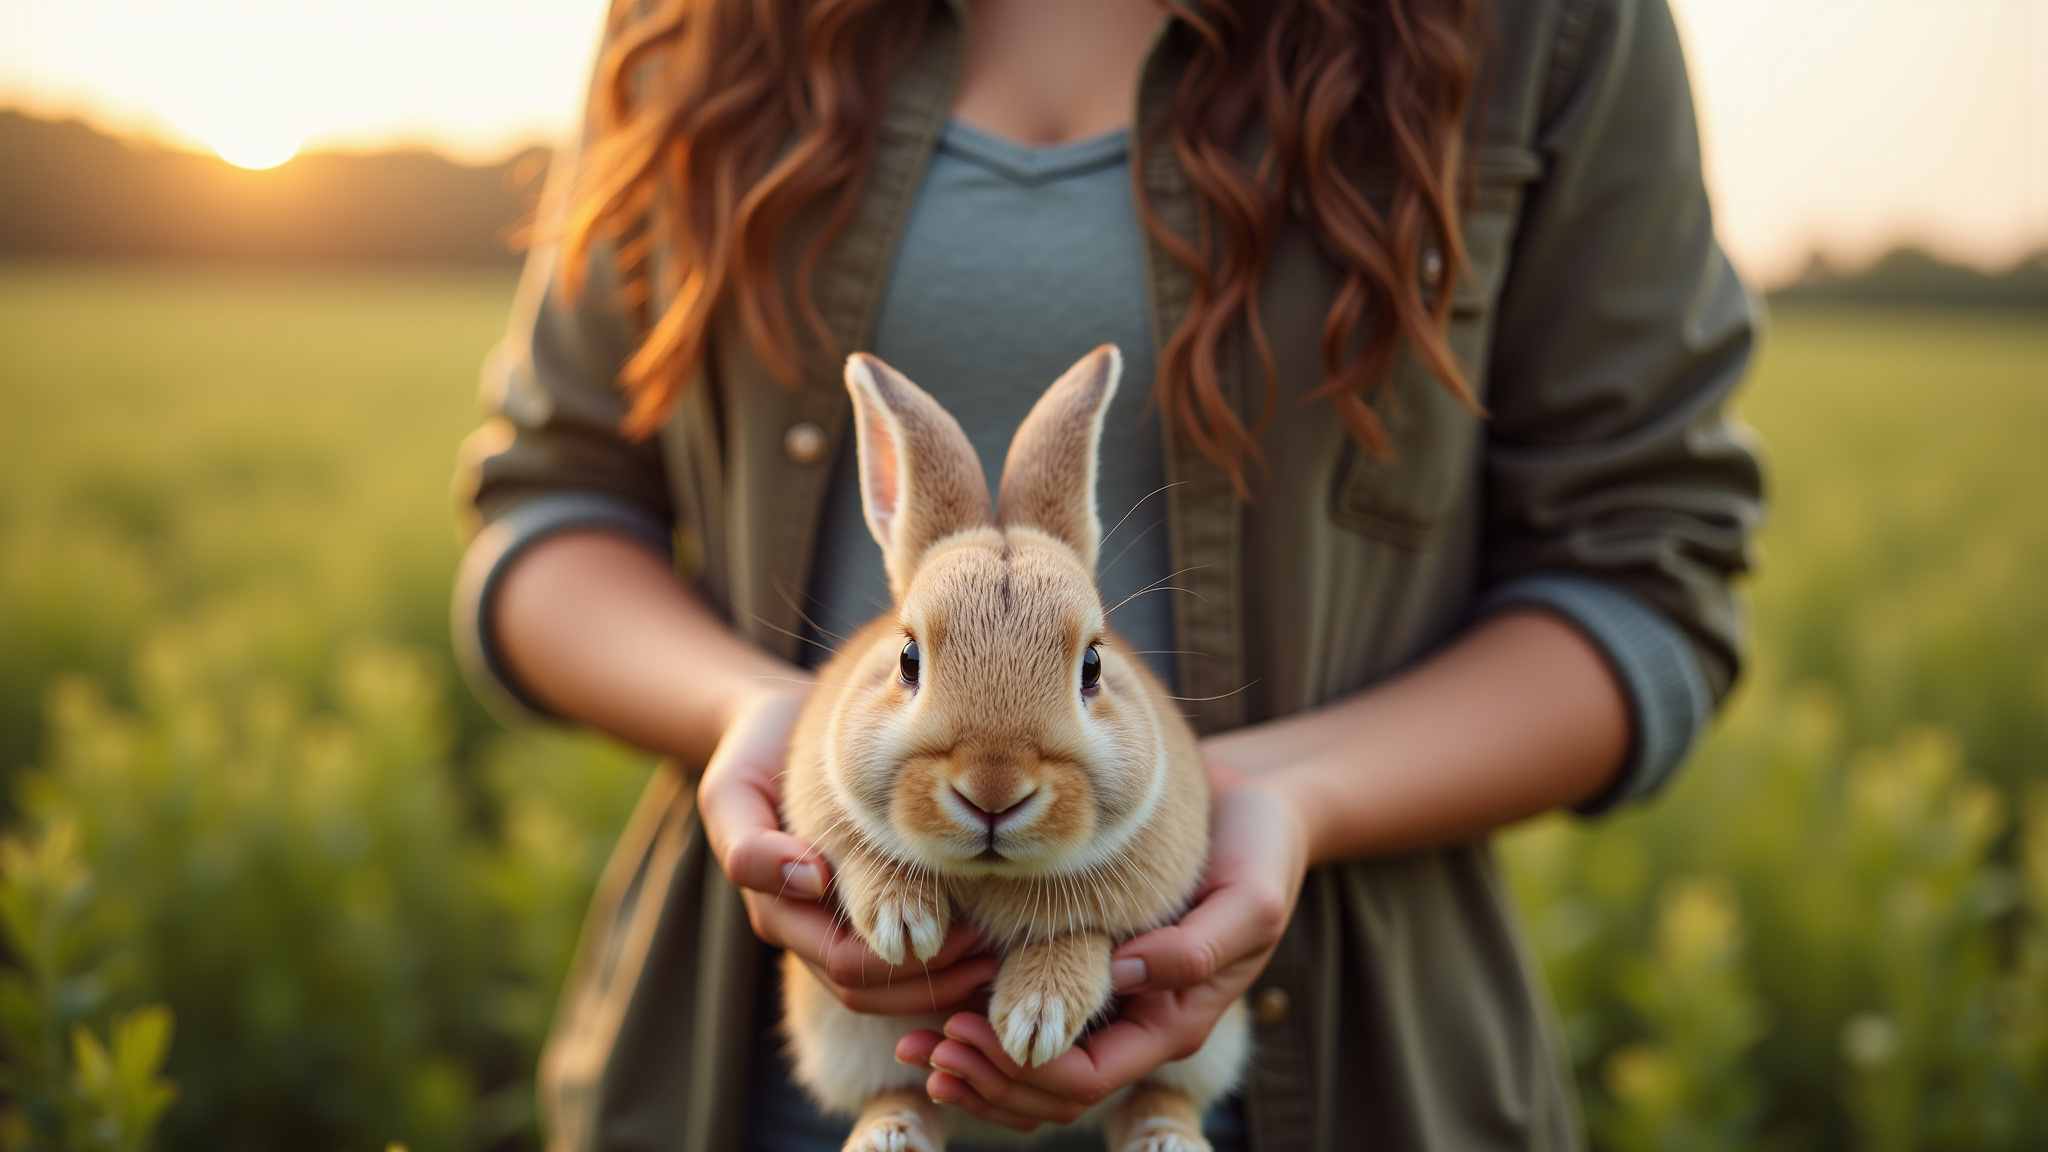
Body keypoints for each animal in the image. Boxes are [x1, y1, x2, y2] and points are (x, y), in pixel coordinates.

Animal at [779, 344, 1249, 1152]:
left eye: (1092, 666)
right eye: (908, 658)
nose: (993, 790)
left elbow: (1087, 938)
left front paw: (1033, 1020)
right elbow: (863, 858)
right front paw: (906, 927)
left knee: (1159, 1091)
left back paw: (1166, 1139)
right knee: (908, 1094)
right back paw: (889, 1135)